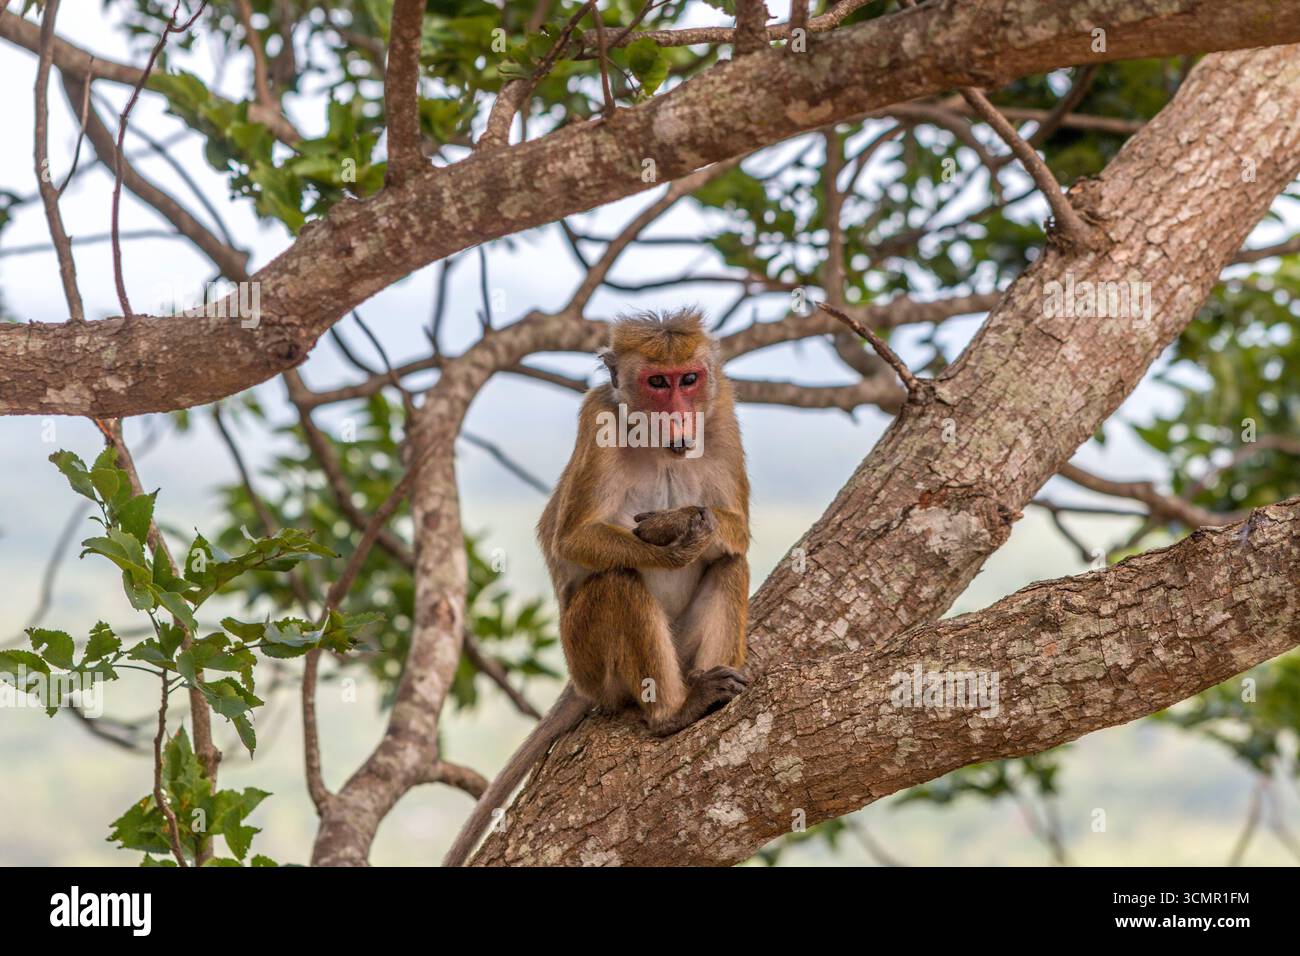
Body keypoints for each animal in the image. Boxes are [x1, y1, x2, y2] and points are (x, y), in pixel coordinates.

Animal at [443, 308, 751, 866]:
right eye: (658, 383)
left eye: (689, 380)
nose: (679, 417)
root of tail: (580, 683)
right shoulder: (596, 417)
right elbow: (574, 539)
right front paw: (672, 532)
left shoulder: (722, 415)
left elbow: (735, 531)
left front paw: (687, 520)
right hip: (588, 658)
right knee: (616, 583)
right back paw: (671, 713)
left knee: (729, 565)